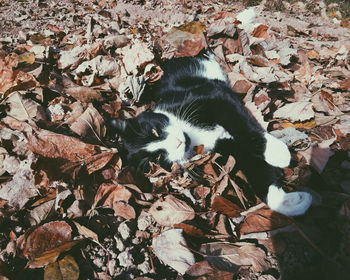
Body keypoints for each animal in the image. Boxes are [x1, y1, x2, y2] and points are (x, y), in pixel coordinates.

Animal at [109, 50, 312, 217]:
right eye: (157, 159)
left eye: (154, 130)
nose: (177, 142)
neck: (193, 135)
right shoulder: (225, 146)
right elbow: (254, 165)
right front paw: (289, 203)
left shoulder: (213, 95)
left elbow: (239, 122)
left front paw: (276, 152)